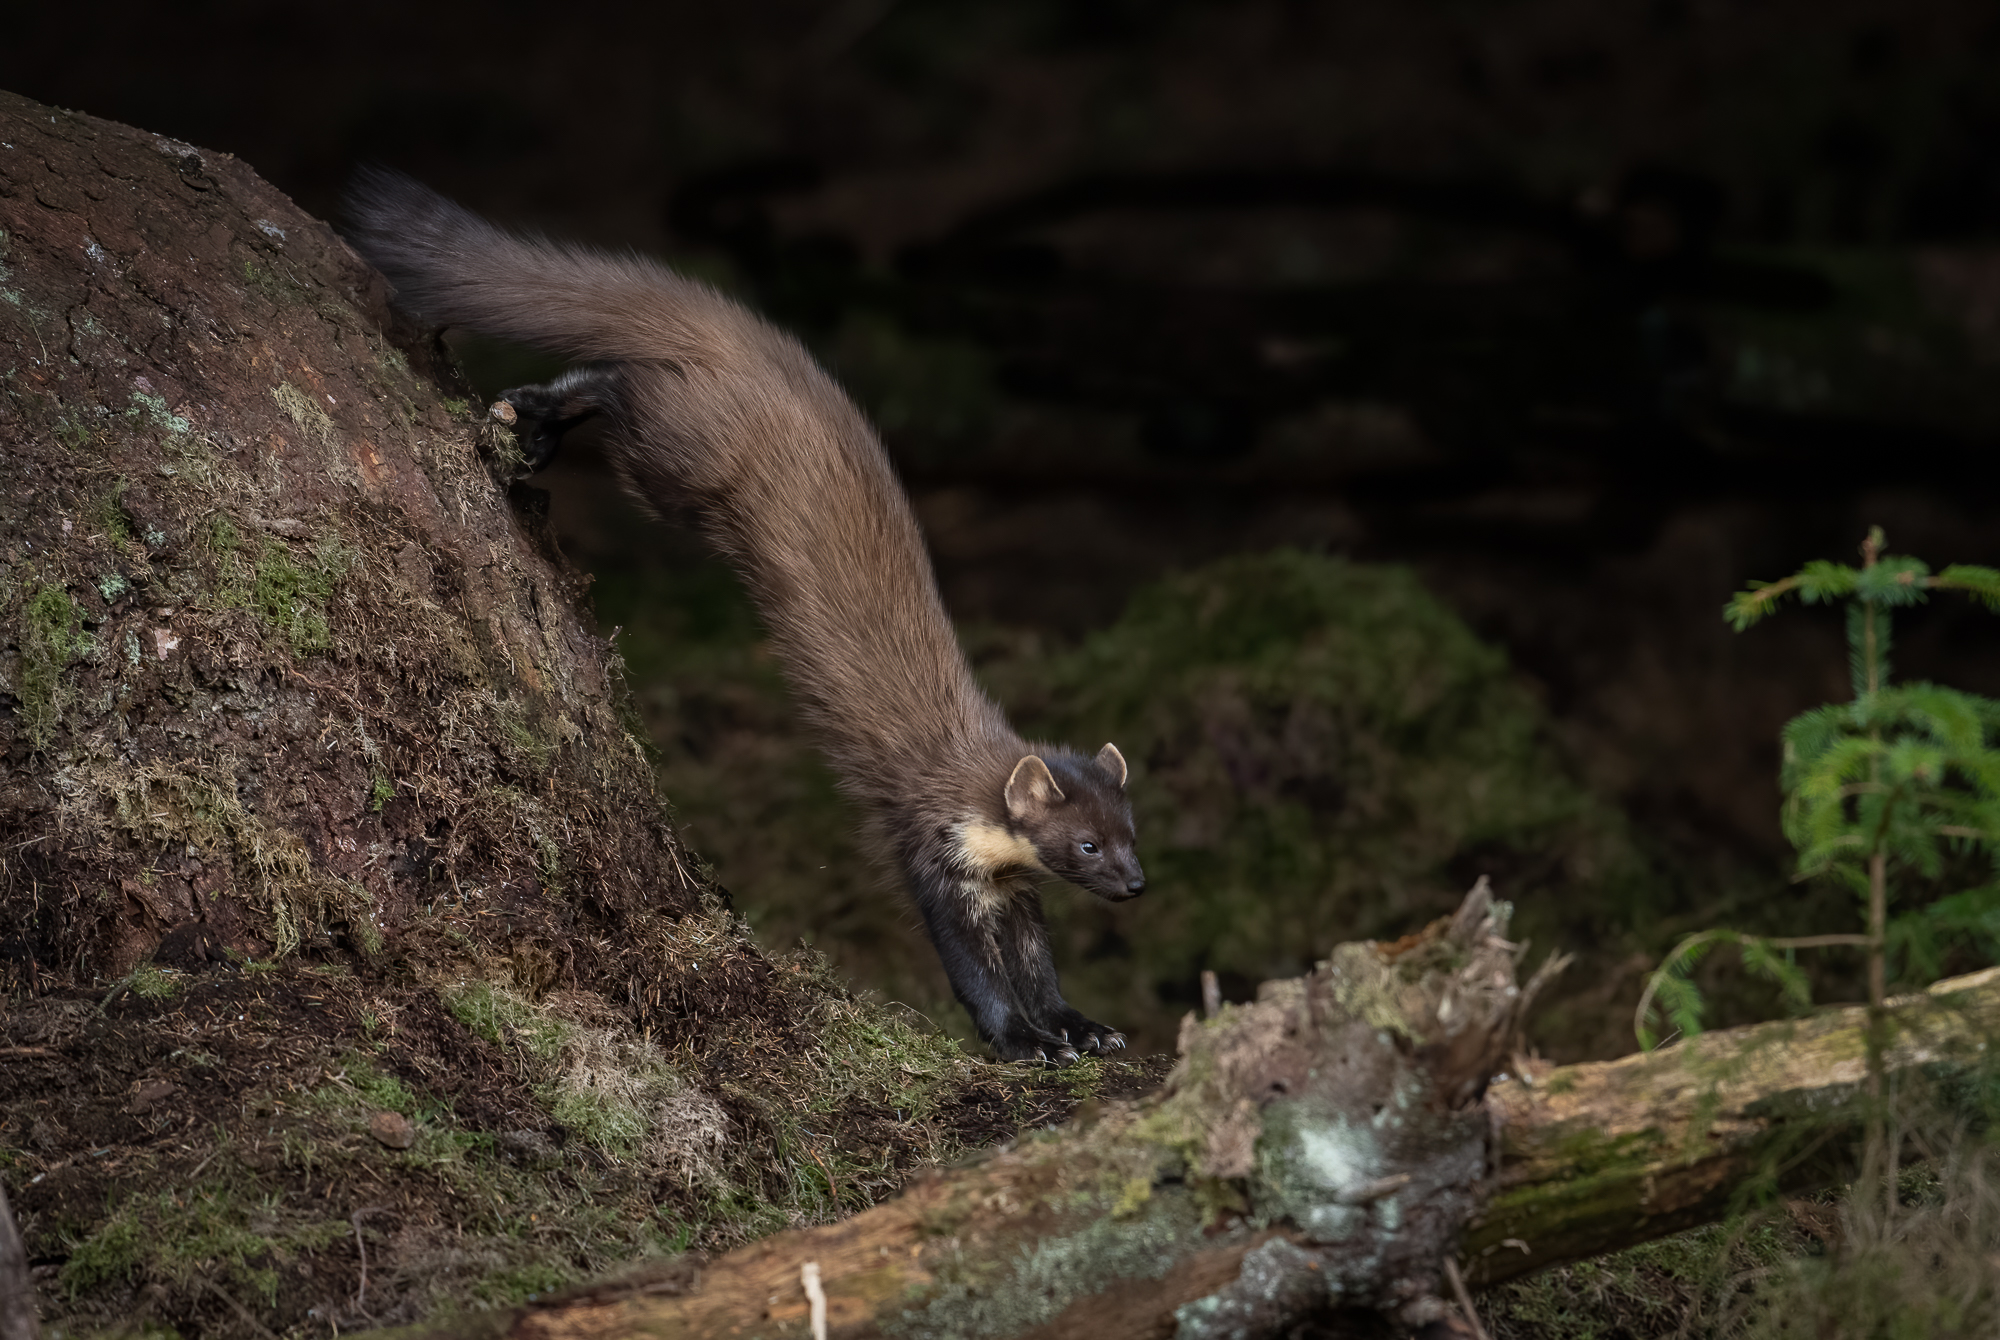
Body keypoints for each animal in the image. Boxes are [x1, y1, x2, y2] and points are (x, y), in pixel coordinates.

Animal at [345, 171, 1144, 1063]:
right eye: (1087, 843)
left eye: (1131, 829)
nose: (1136, 883)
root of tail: (763, 351)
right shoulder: (933, 848)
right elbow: (975, 972)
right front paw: (1023, 1041)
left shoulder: (1010, 884)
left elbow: (1038, 964)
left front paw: (1082, 1027)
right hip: (676, 456)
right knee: (619, 381)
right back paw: (530, 411)